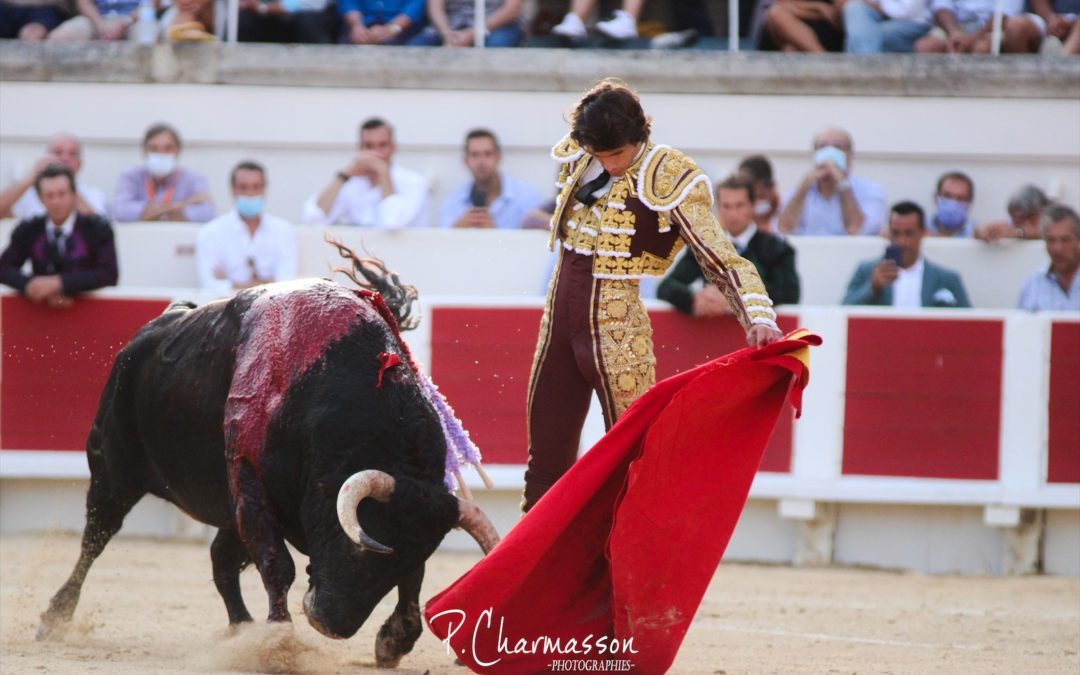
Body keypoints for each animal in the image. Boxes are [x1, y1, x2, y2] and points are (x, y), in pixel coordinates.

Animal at [35, 245, 498, 665]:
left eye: (411, 555)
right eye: (361, 547)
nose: (330, 623)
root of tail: (160, 322)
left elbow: (413, 582)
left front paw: (393, 641)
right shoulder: (251, 485)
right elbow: (279, 565)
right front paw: (280, 644)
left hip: (221, 508)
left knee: (220, 560)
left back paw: (241, 629)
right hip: (113, 470)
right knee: (96, 537)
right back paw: (54, 618)